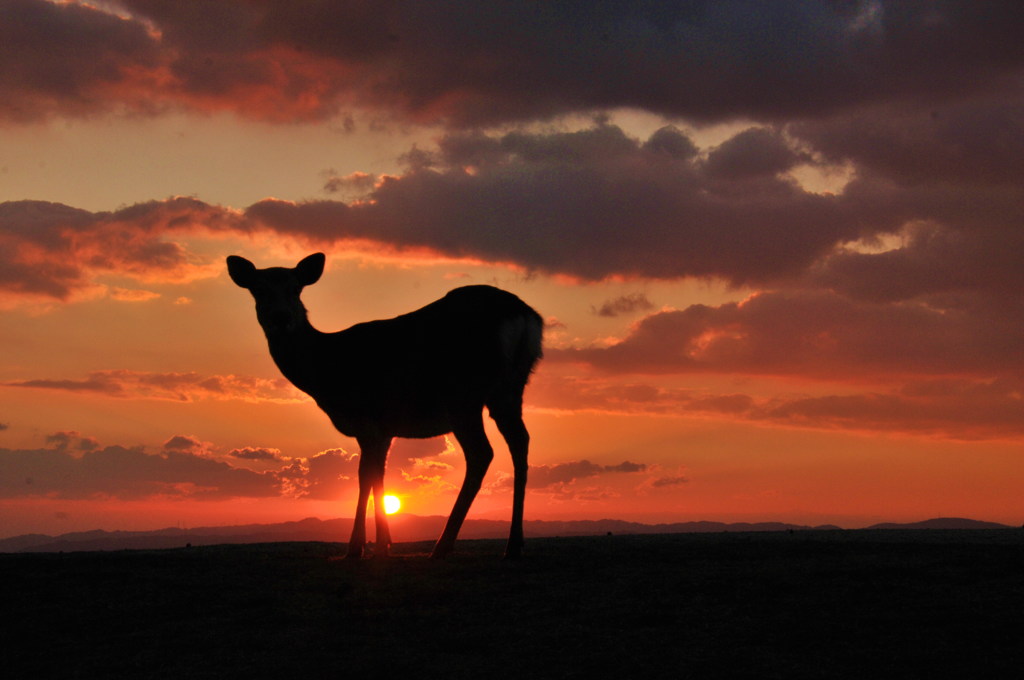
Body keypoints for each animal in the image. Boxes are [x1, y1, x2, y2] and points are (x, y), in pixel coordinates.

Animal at [225, 251, 544, 561]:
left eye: (295, 288)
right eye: (259, 289)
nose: (281, 318)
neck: (325, 372)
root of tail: (526, 317)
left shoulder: (367, 420)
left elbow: (365, 475)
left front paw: (361, 547)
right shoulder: (385, 429)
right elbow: (378, 474)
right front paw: (383, 543)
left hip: (464, 394)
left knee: (481, 453)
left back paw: (442, 545)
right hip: (510, 390)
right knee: (521, 441)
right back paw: (514, 544)